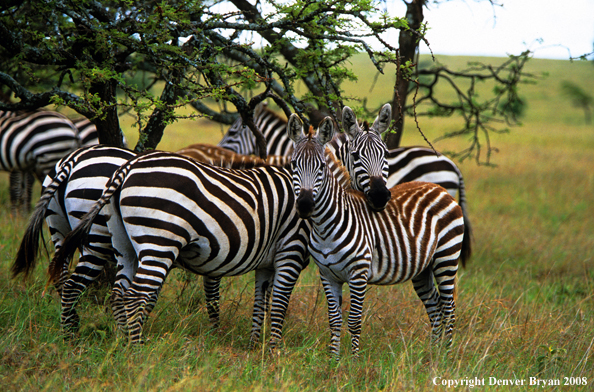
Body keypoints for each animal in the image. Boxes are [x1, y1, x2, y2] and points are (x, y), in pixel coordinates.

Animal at [286, 112, 468, 358]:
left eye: (322, 167)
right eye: (293, 164)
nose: (305, 205)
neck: (325, 227)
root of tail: (439, 188)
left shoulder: (358, 273)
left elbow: (354, 321)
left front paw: (353, 361)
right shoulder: (327, 275)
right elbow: (334, 321)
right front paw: (333, 361)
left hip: (446, 257)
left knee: (449, 308)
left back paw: (447, 355)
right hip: (423, 269)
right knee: (435, 308)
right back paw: (434, 355)